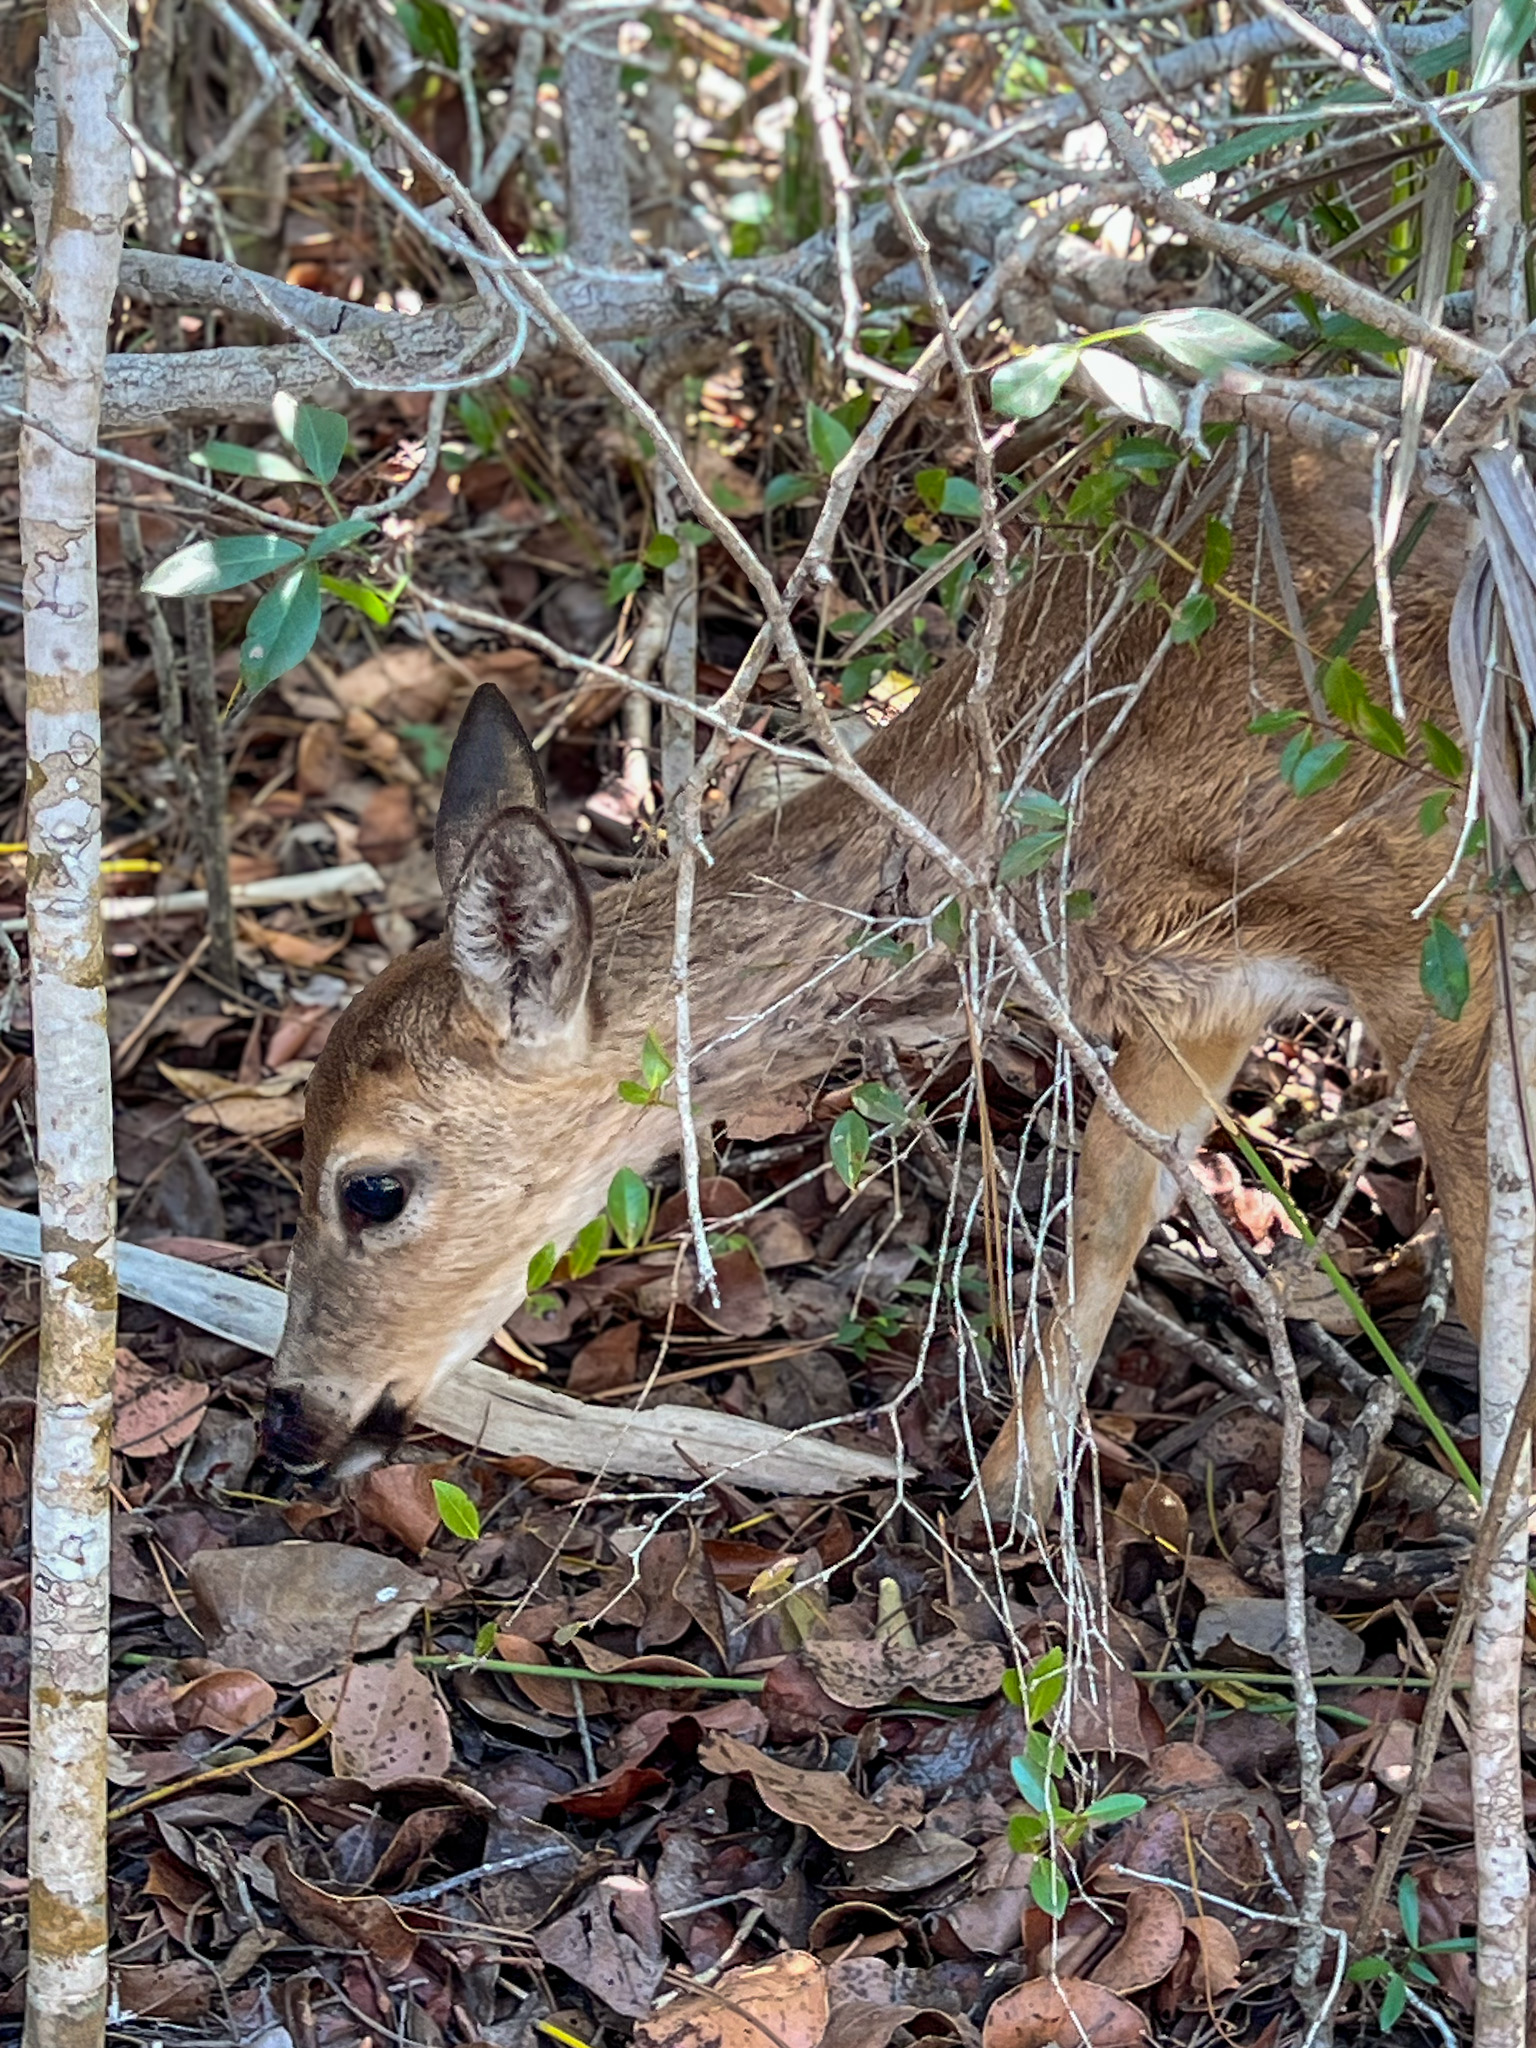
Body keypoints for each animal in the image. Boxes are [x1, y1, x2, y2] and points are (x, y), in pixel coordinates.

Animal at [260, 439, 1494, 1529]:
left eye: (373, 1188)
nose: (291, 1417)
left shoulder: (1436, 931)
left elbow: (1494, 1271)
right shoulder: (1205, 989)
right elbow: (1108, 1209)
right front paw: (1008, 1503)